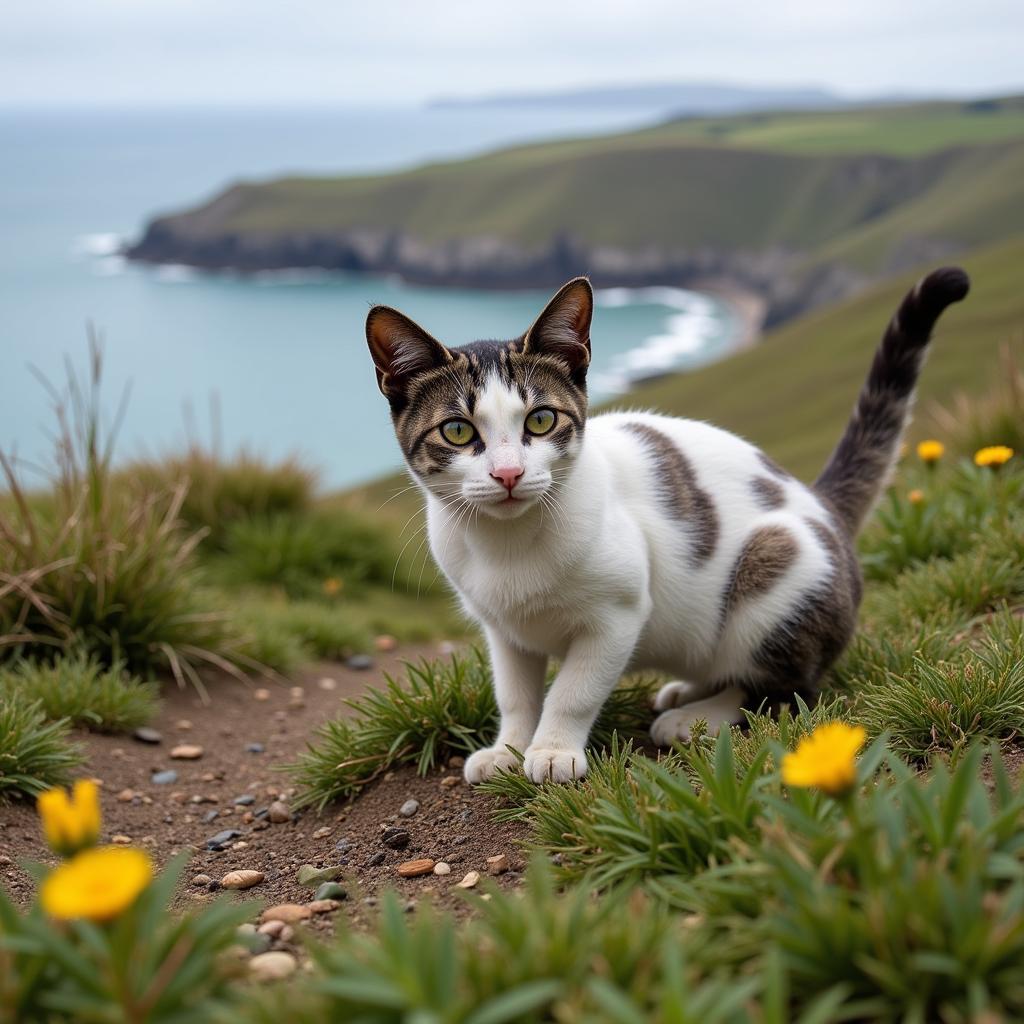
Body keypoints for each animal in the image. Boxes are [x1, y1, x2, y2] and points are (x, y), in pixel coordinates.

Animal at [366, 266, 966, 782]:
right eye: (458, 432)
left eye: (540, 420)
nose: (509, 473)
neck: (508, 544)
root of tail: (824, 507)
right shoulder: (504, 629)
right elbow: (515, 694)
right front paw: (509, 747)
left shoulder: (617, 615)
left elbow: (573, 691)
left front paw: (554, 750)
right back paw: (687, 689)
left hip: (777, 567)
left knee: (785, 690)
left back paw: (698, 716)